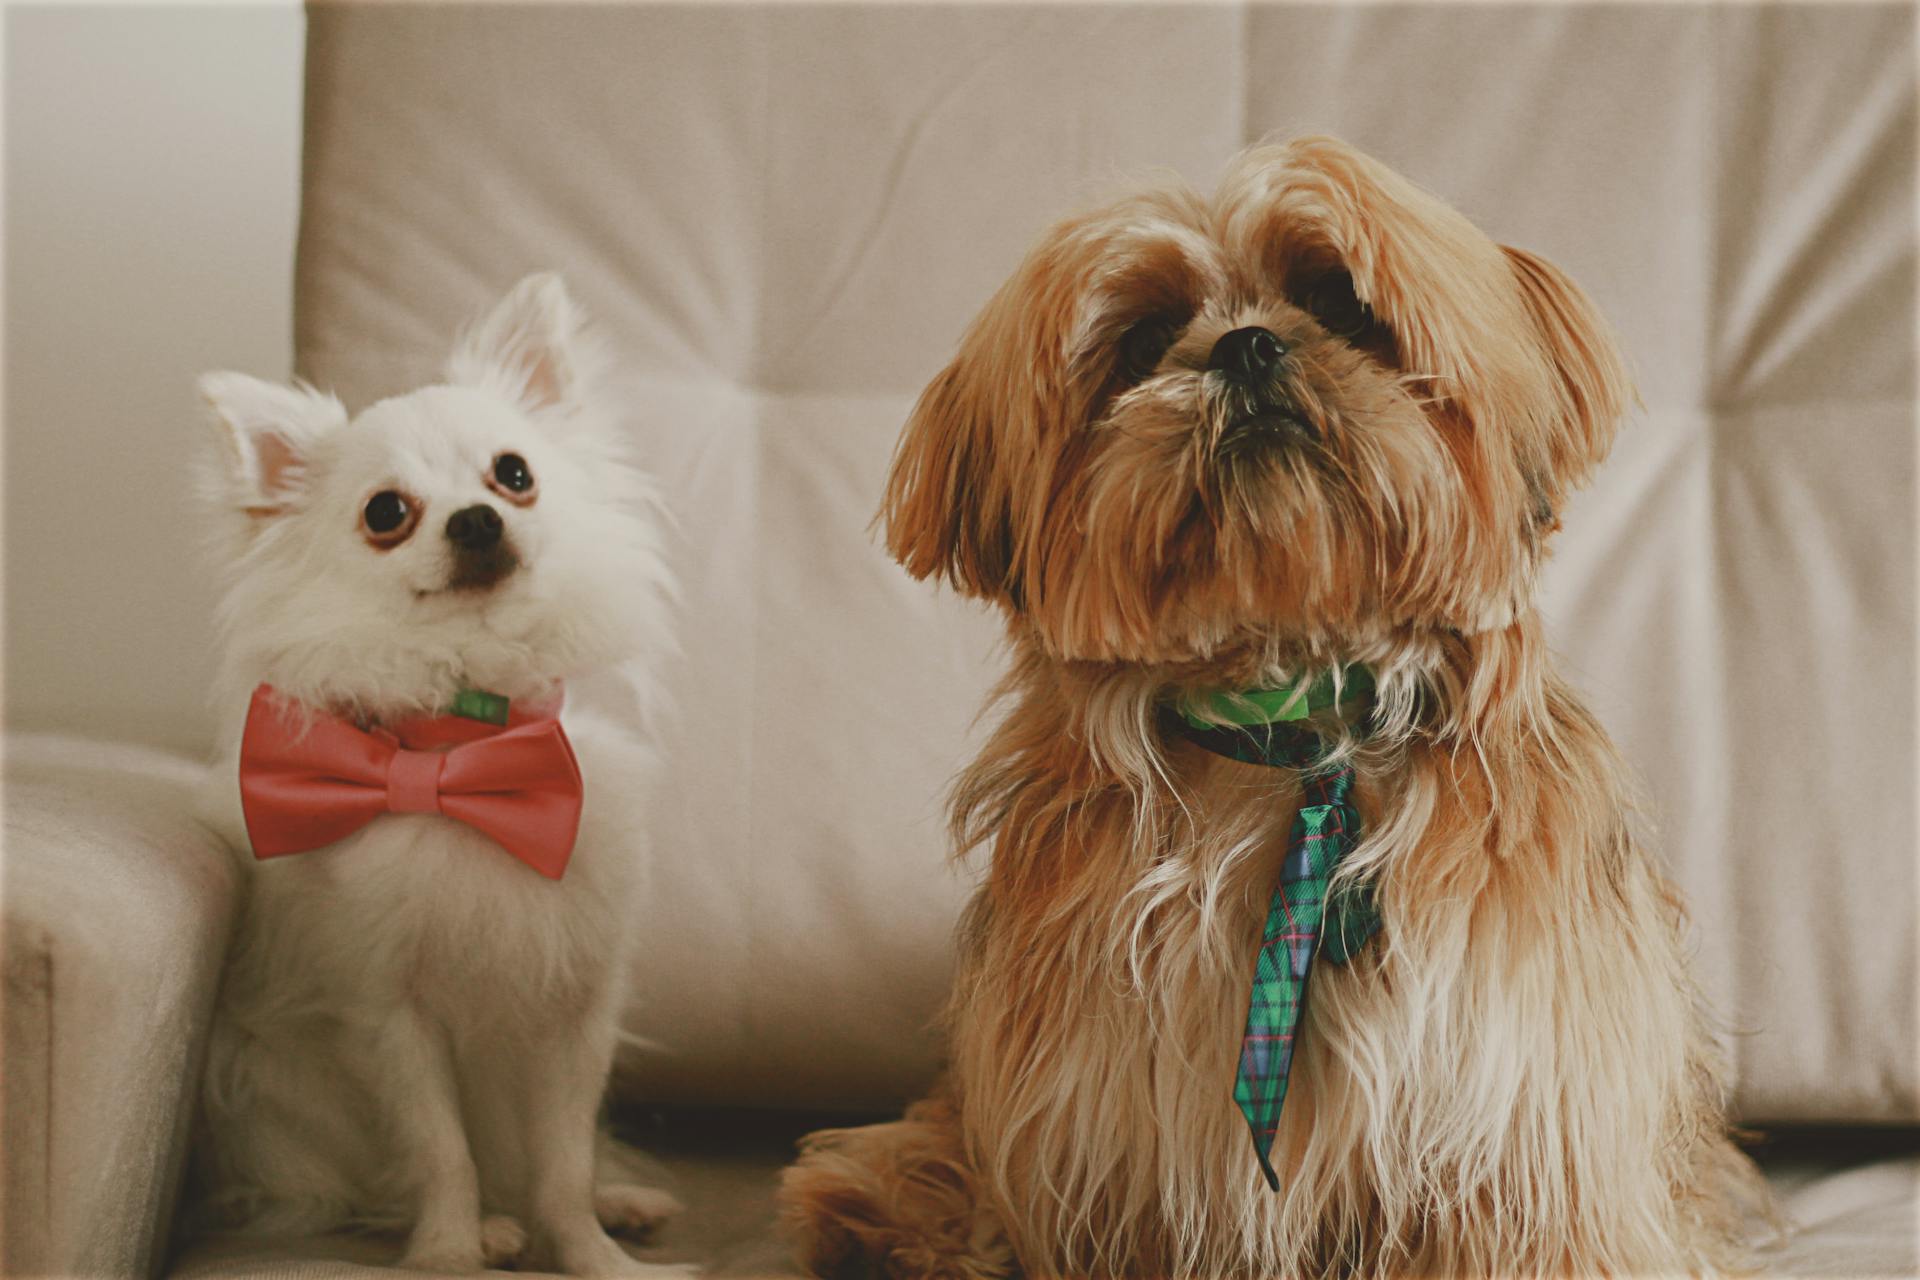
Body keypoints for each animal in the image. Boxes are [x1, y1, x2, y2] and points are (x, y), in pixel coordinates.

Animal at [192, 276, 683, 1274]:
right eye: (386, 513)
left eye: (514, 474)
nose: (479, 518)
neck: (464, 744)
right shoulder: (389, 1010)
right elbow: (438, 1149)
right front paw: (450, 1251)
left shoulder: (578, 1009)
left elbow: (565, 1162)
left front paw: (596, 1255)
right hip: (287, 1107)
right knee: (360, 1188)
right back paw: (488, 1227)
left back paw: (619, 1202)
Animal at [771, 140, 1758, 1280]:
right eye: (1143, 338)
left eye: (1336, 299)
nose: (1245, 346)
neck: (1293, 710)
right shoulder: (1109, 1126)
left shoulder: (1523, 1110)